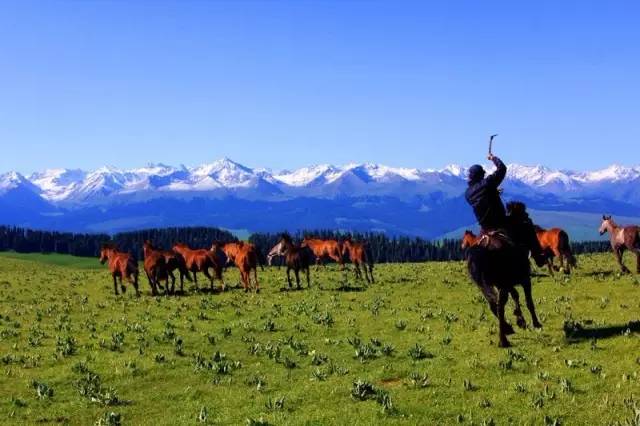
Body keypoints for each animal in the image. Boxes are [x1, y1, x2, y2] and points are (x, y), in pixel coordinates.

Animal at [464, 202, 552, 346]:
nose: (541, 257)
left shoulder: (505, 283)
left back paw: (507, 329)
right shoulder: (524, 280)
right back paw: (503, 340)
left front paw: (520, 320)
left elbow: (515, 295)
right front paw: (535, 323)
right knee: (500, 305)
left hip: (484, 285)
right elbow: (528, 301)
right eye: (529, 226)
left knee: (493, 304)